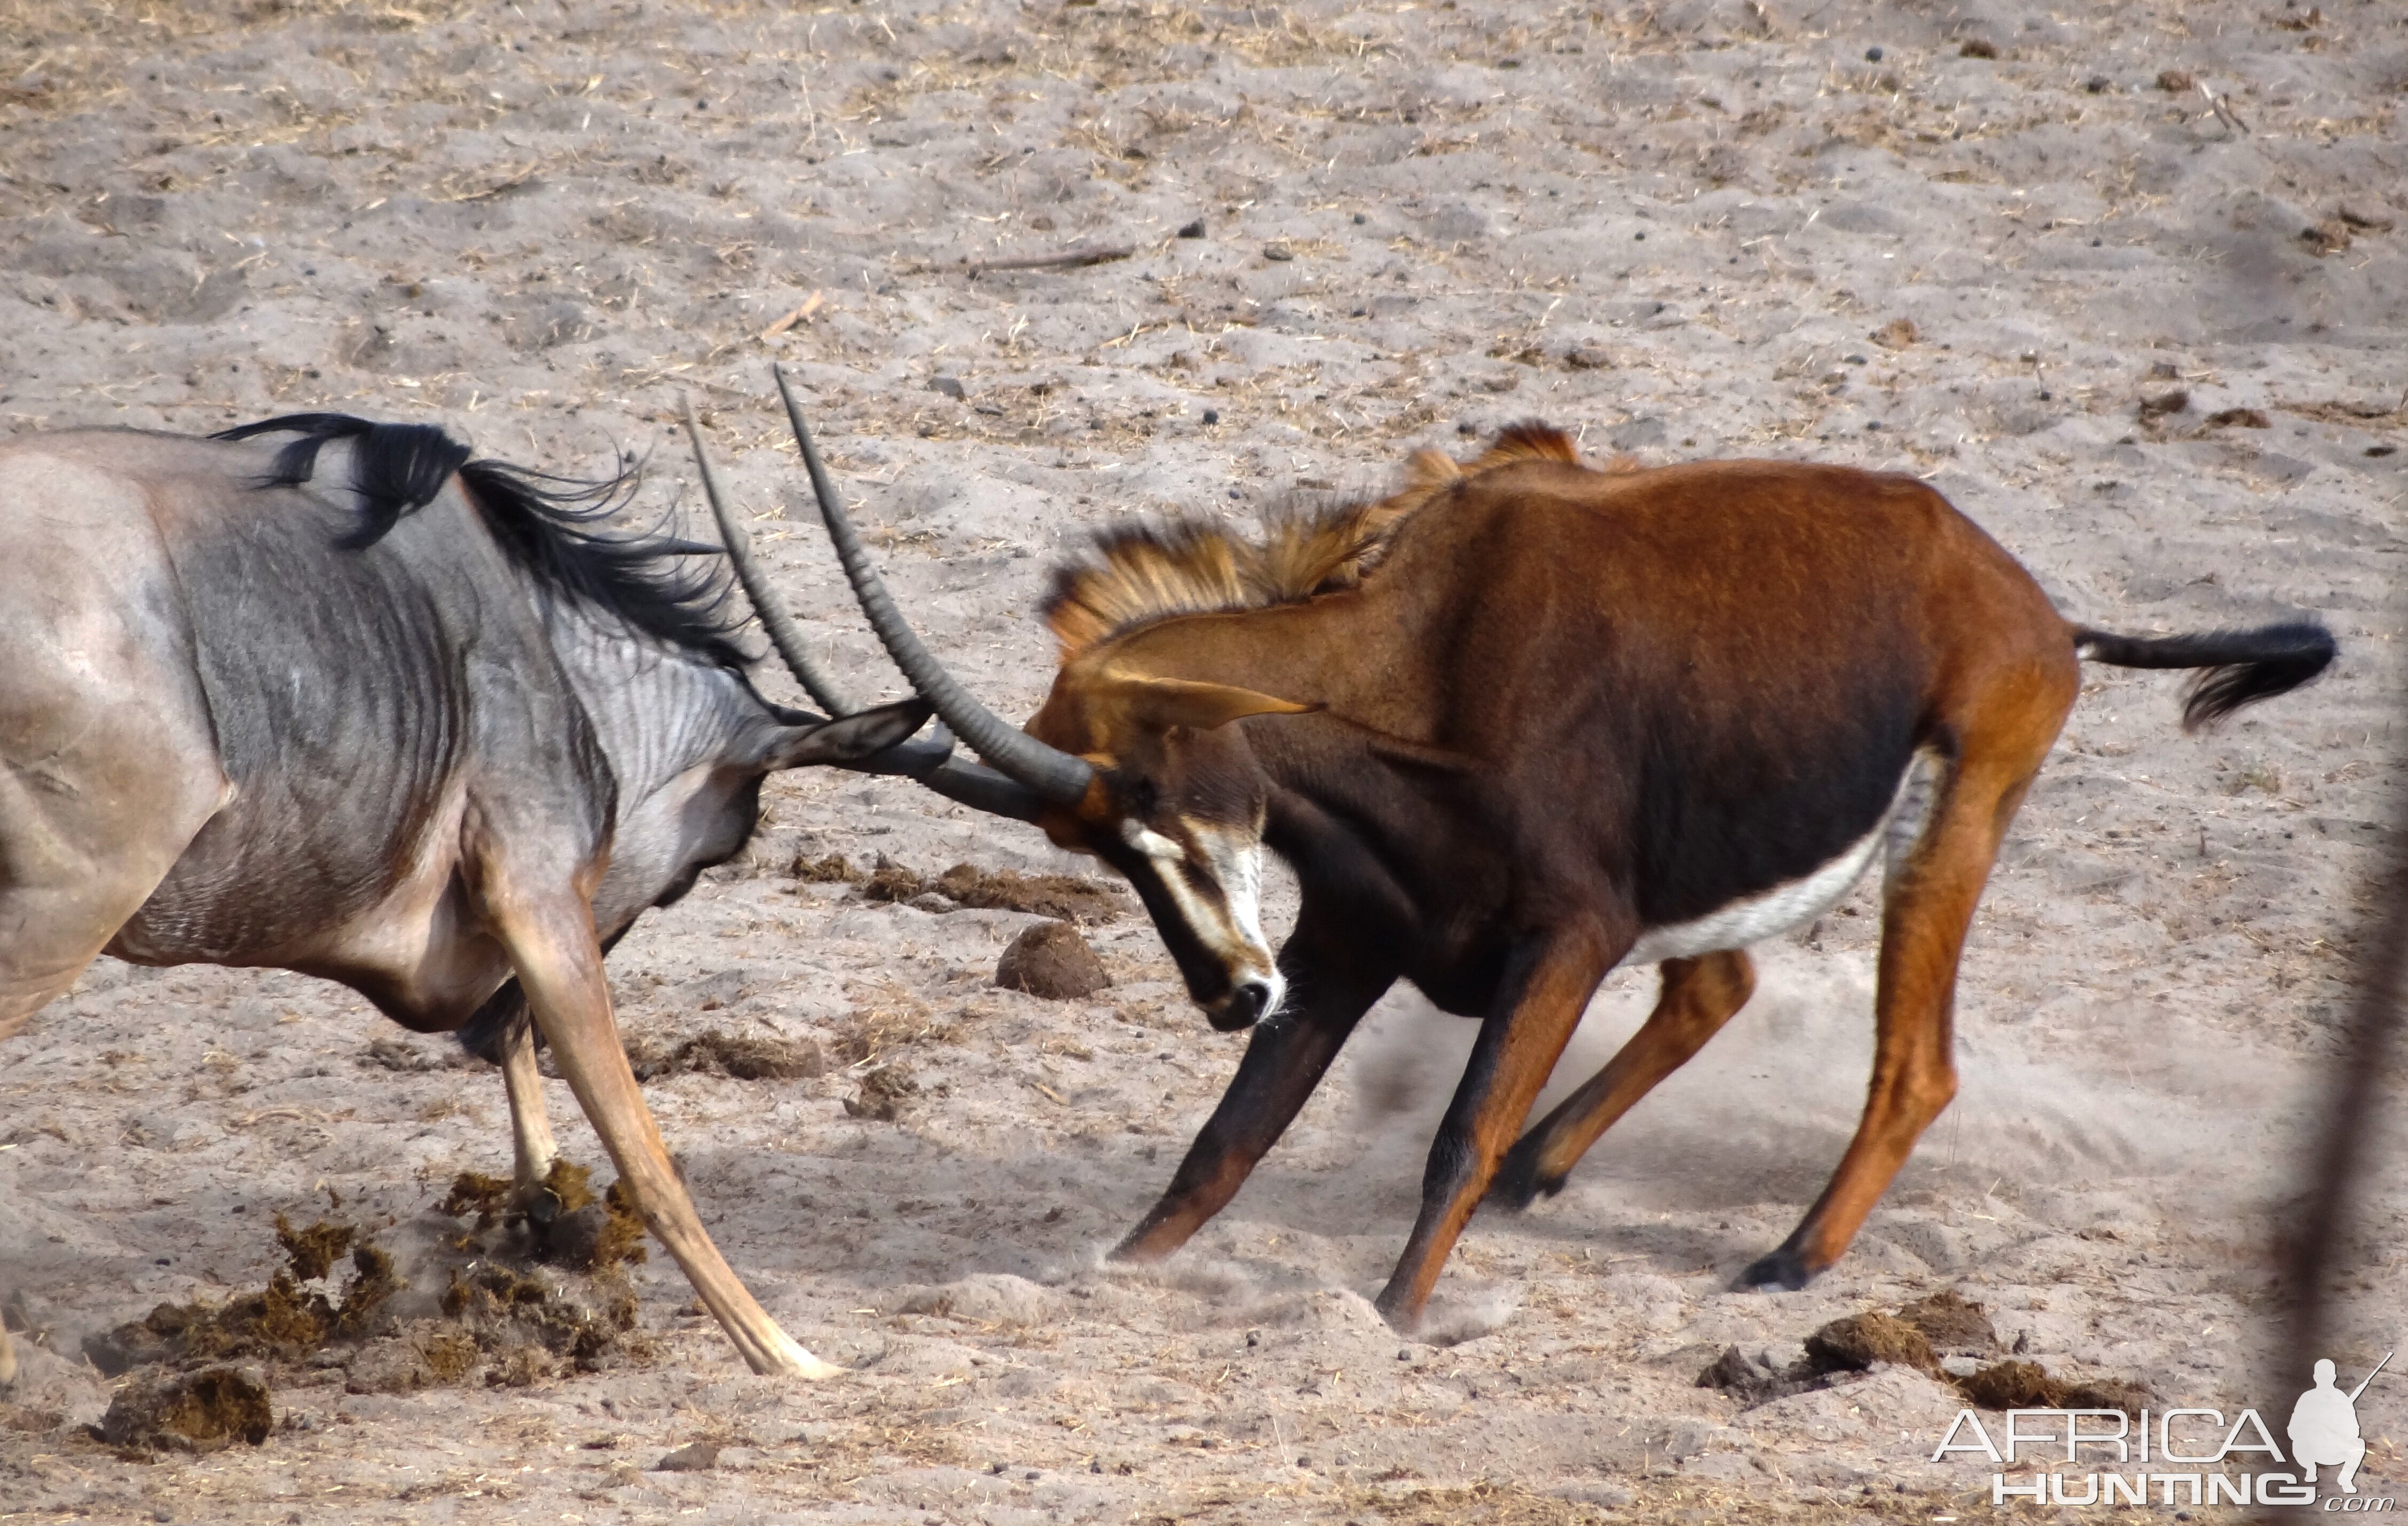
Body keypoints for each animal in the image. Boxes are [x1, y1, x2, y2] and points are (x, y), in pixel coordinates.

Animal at [0, 407, 939, 1377]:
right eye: (695, 871)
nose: (483, 1026)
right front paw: (790, 1356)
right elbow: (646, 1154)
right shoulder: (539, 899)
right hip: (66, 914)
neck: (544, 640)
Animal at [756, 370, 2331, 1329]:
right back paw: (1554, 1178)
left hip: (1950, 823)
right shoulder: (1349, 944)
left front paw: (1392, 1315)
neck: (1425, 650)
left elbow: (1452, 1130)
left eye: (1148, 791)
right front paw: (1107, 1274)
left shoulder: (1559, 936)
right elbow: (1222, 1144)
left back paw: (1783, 1259)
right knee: (1718, 992)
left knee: (1913, 1063)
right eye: (1087, 844)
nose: (1228, 994)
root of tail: (2034, 605)